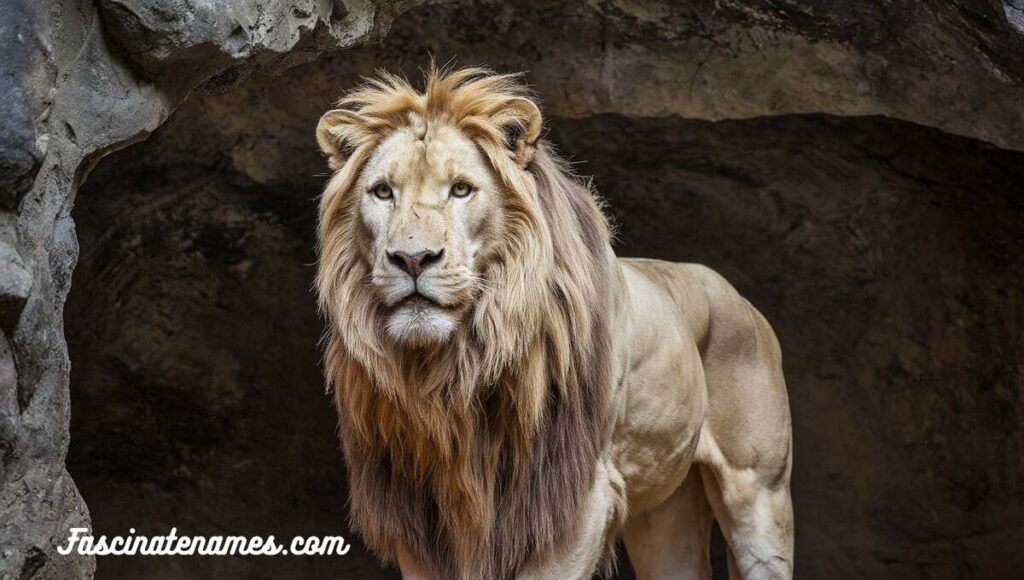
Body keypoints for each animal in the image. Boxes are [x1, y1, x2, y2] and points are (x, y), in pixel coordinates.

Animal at [315, 68, 794, 580]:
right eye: (383, 191)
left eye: (461, 189)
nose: (412, 258)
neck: (457, 371)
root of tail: (737, 296)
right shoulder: (421, 511)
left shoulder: (575, 497)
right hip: (665, 509)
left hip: (760, 490)